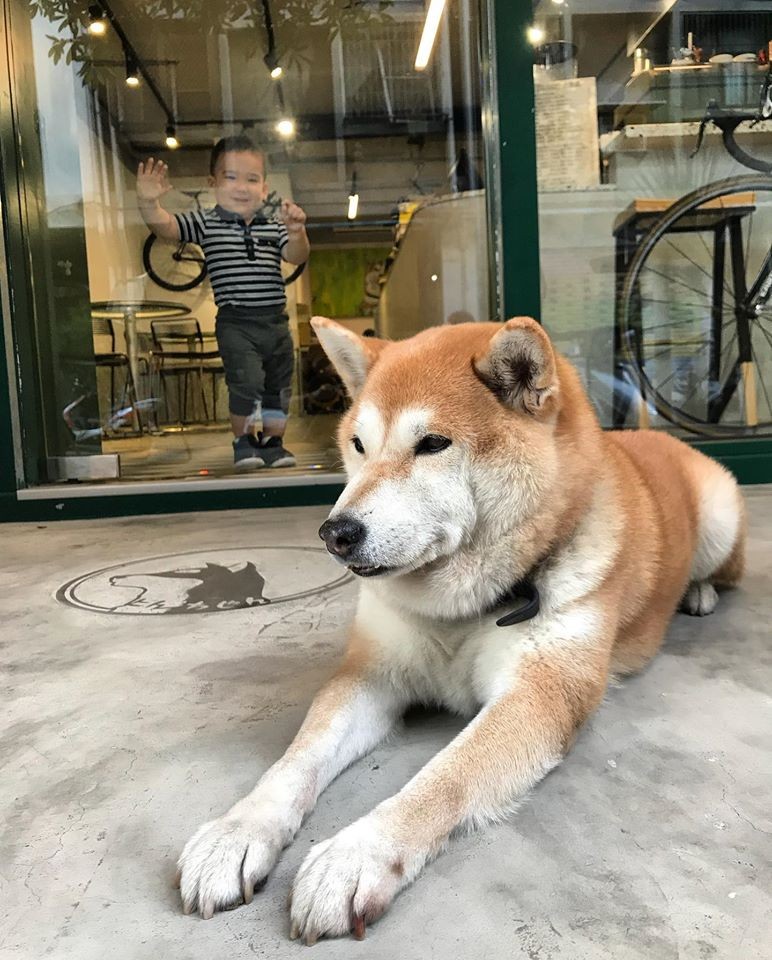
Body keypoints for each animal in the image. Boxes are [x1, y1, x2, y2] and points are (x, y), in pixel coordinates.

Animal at [175, 318, 740, 940]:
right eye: (358, 445)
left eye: (432, 445)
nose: (335, 533)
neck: (461, 611)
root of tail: (649, 439)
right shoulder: (369, 674)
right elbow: (296, 759)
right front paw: (235, 832)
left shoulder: (539, 695)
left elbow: (444, 777)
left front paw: (355, 856)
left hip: (720, 517)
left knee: (725, 570)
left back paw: (699, 592)